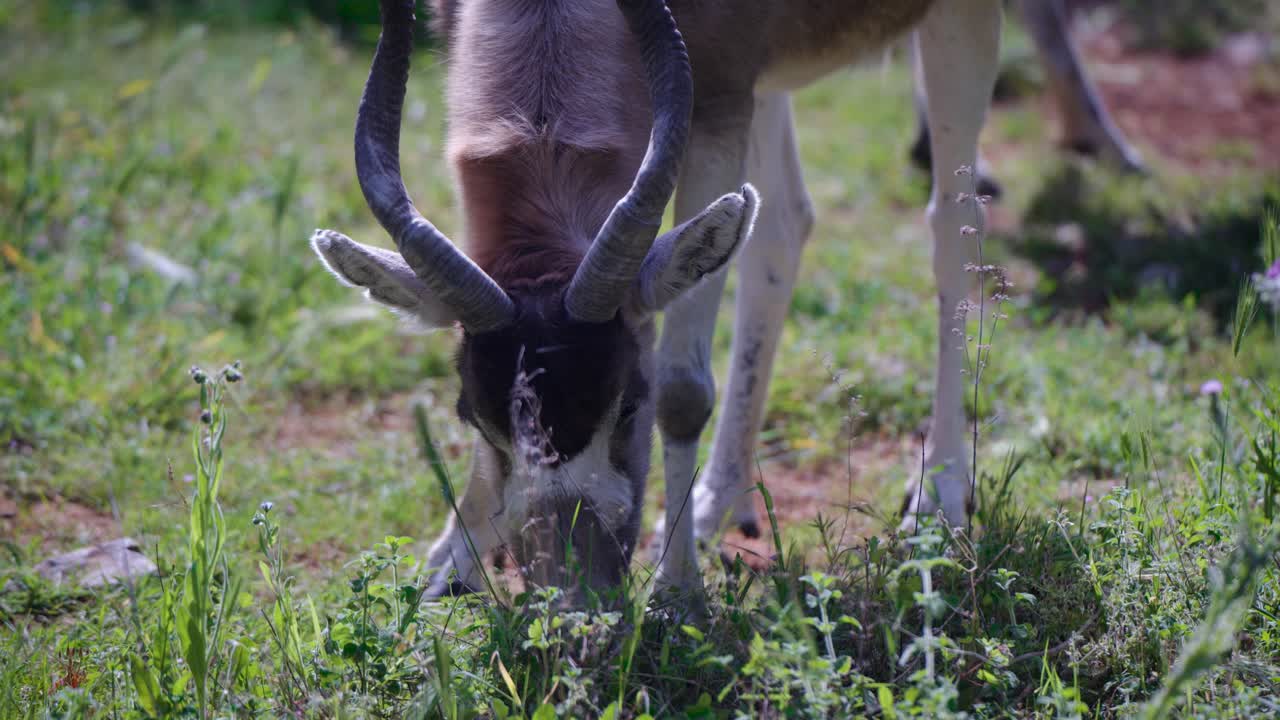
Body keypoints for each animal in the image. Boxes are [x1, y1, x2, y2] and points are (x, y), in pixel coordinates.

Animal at [312, 0, 1006, 600]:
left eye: (628, 405)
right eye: (474, 417)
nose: (575, 602)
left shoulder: (719, 103)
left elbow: (685, 389)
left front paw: (678, 597)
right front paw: (447, 567)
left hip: (957, 24)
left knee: (952, 222)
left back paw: (939, 499)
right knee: (781, 226)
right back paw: (718, 501)